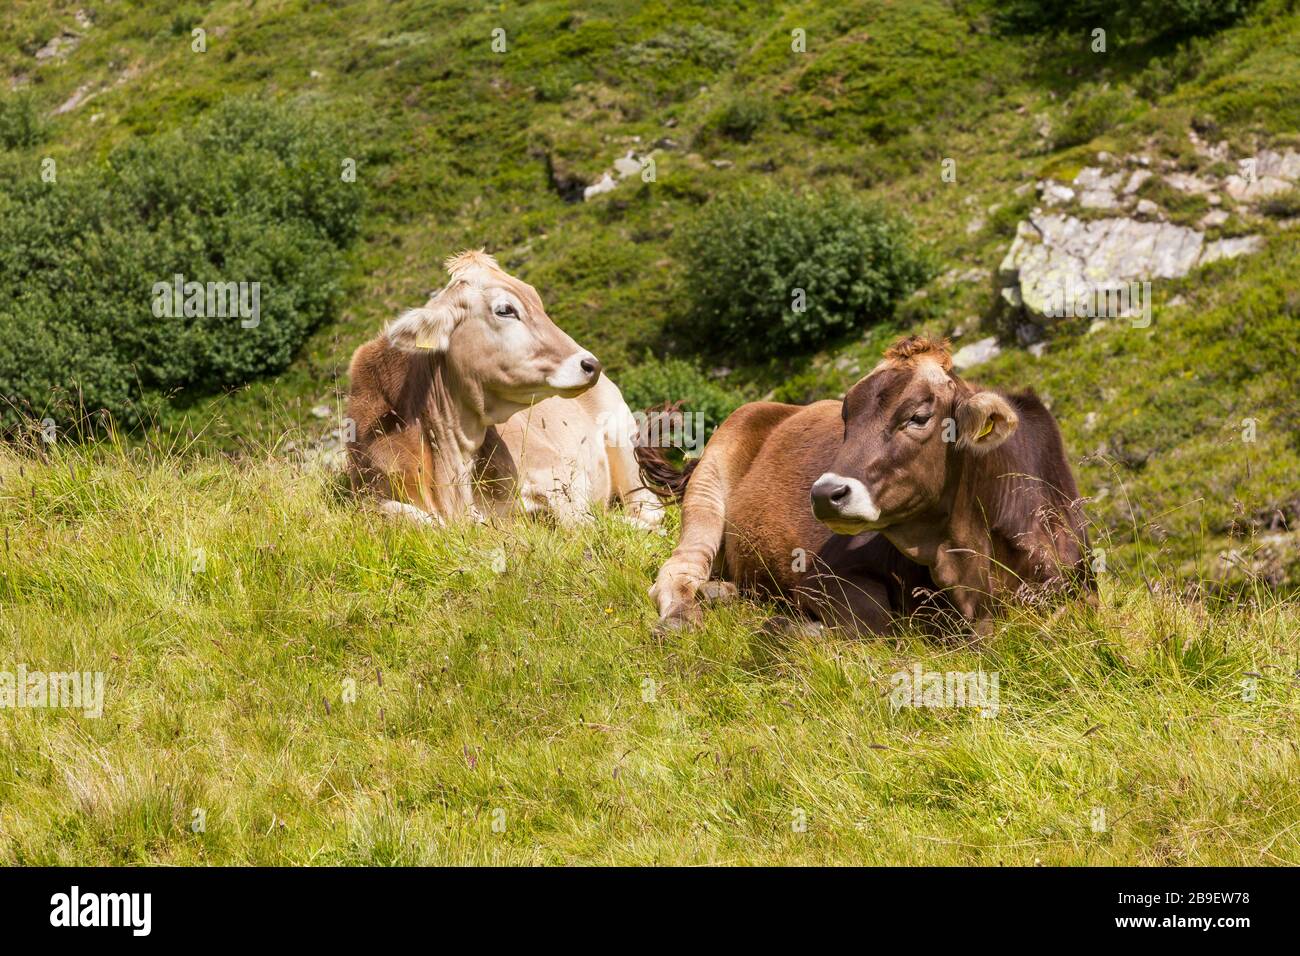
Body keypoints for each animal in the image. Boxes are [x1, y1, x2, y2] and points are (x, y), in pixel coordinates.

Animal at [642, 335, 1092, 636]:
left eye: (918, 416)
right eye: (846, 418)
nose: (825, 494)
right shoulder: (822, 577)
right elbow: (880, 623)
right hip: (708, 487)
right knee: (677, 571)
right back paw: (684, 616)